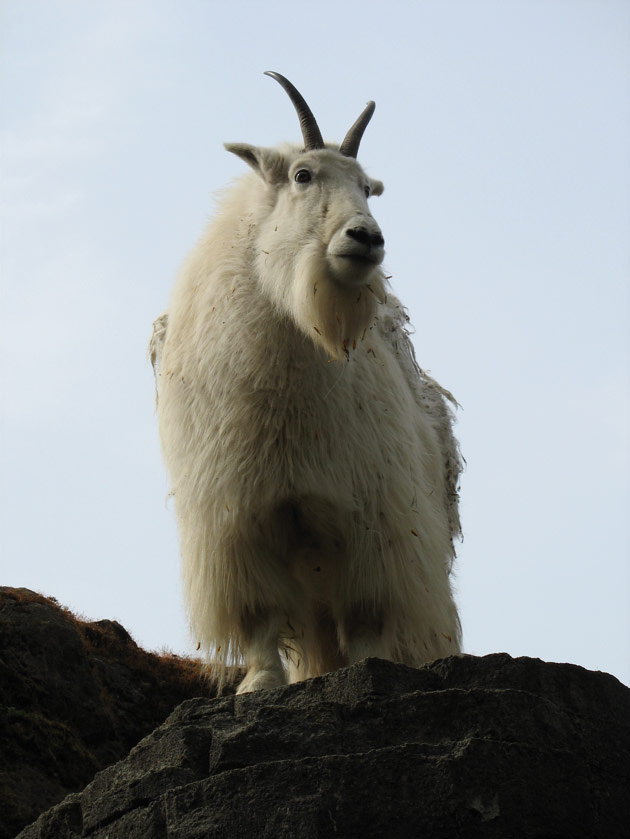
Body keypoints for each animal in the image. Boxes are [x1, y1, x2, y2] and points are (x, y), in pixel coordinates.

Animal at [150, 72, 462, 692]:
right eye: (303, 175)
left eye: (367, 187)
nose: (365, 238)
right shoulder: (239, 523)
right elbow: (261, 616)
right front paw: (259, 684)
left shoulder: (371, 520)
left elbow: (366, 615)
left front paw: (371, 669)